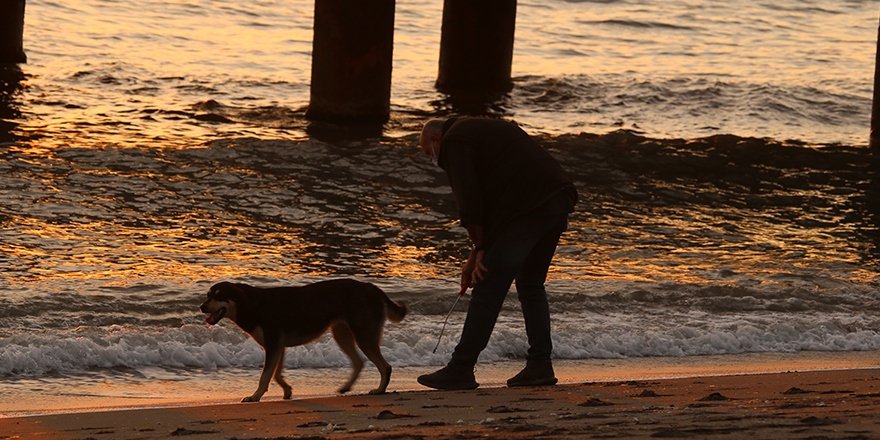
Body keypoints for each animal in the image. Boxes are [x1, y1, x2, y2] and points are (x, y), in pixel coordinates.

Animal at [199, 278, 406, 402]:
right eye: (208, 295)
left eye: (219, 296)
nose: (201, 307)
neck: (249, 304)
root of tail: (373, 287)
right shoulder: (278, 347)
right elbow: (275, 374)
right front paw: (287, 391)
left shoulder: (274, 345)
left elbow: (265, 376)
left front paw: (255, 396)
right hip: (342, 334)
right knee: (359, 362)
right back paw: (346, 387)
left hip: (363, 335)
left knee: (385, 367)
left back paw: (379, 390)